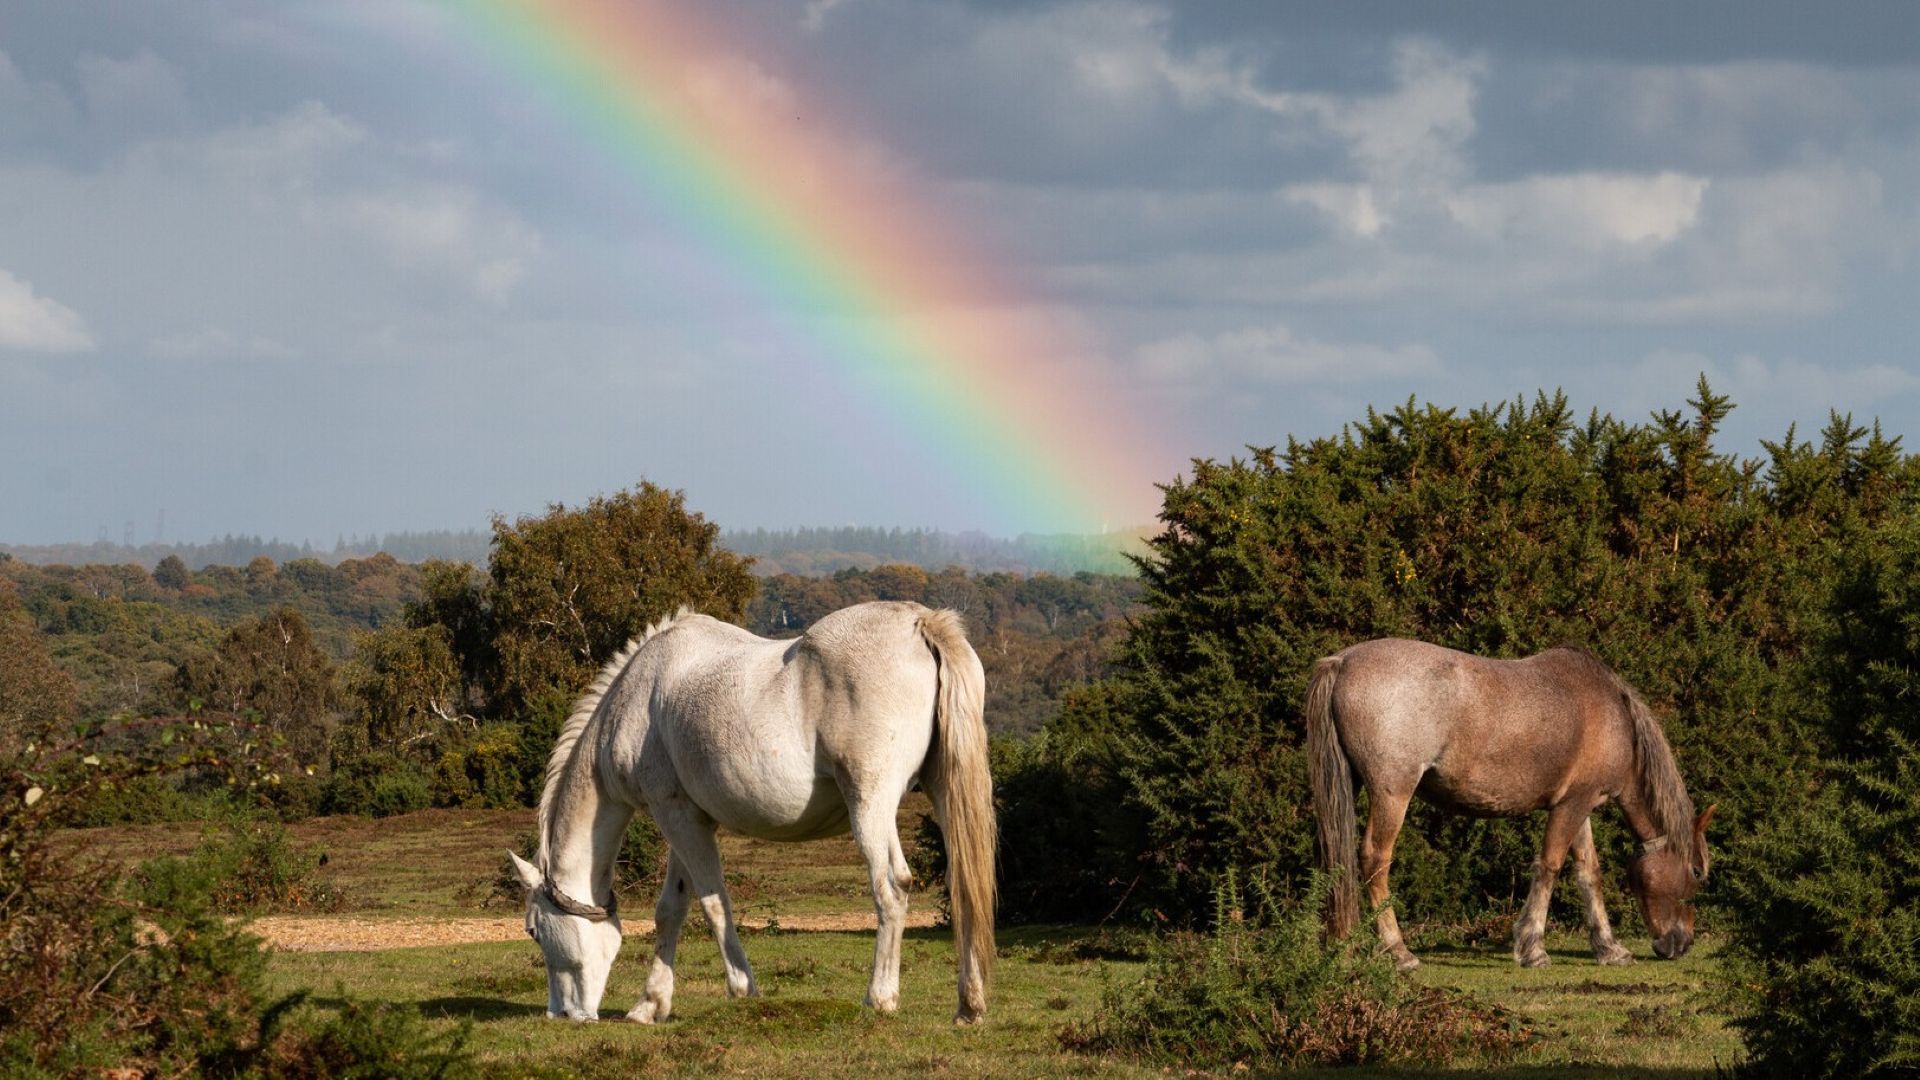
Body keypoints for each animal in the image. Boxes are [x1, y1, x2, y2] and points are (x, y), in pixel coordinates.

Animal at [504, 601, 996, 1024]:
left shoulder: (674, 815)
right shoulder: (687, 818)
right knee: (964, 884)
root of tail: (920, 623)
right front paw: (650, 1005)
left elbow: (712, 904)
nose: (560, 1013)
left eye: (533, 931)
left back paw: (879, 998)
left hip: (870, 802)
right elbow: (671, 909)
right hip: (942, 790)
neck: (637, 698)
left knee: (891, 886)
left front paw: (742, 989)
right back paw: (969, 1005)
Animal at [1305, 639, 1714, 970]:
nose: (1682, 944)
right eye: (1696, 871)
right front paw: (1533, 948)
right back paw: (1399, 952)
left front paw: (1609, 948)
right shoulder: (1572, 806)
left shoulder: (1577, 805)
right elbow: (1549, 867)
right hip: (1393, 793)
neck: (1611, 712)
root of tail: (1342, 661)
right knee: (1375, 860)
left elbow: (1588, 873)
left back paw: (1342, 950)